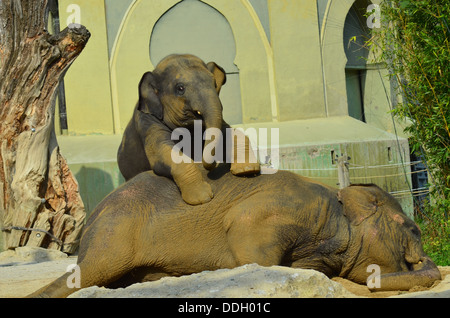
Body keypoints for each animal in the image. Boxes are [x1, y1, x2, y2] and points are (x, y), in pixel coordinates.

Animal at [117, 53, 260, 205]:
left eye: (215, 84)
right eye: (180, 88)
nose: (212, 164)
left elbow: (232, 132)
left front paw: (247, 170)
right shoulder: (147, 122)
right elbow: (163, 150)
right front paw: (202, 198)